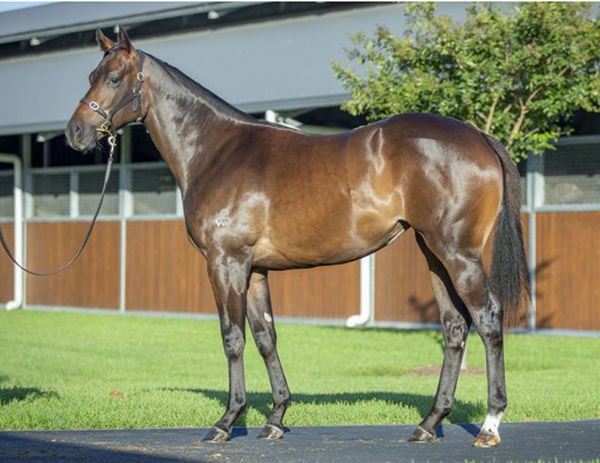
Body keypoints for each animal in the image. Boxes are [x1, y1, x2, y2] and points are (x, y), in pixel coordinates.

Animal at [65, 27, 528, 448]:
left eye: (113, 78)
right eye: (90, 74)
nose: (75, 133)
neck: (217, 152)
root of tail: (479, 136)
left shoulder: (225, 261)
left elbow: (232, 337)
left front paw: (226, 421)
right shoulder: (254, 269)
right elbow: (265, 337)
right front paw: (275, 418)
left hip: (458, 253)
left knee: (488, 319)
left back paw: (489, 425)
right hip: (433, 253)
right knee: (454, 327)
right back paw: (429, 424)